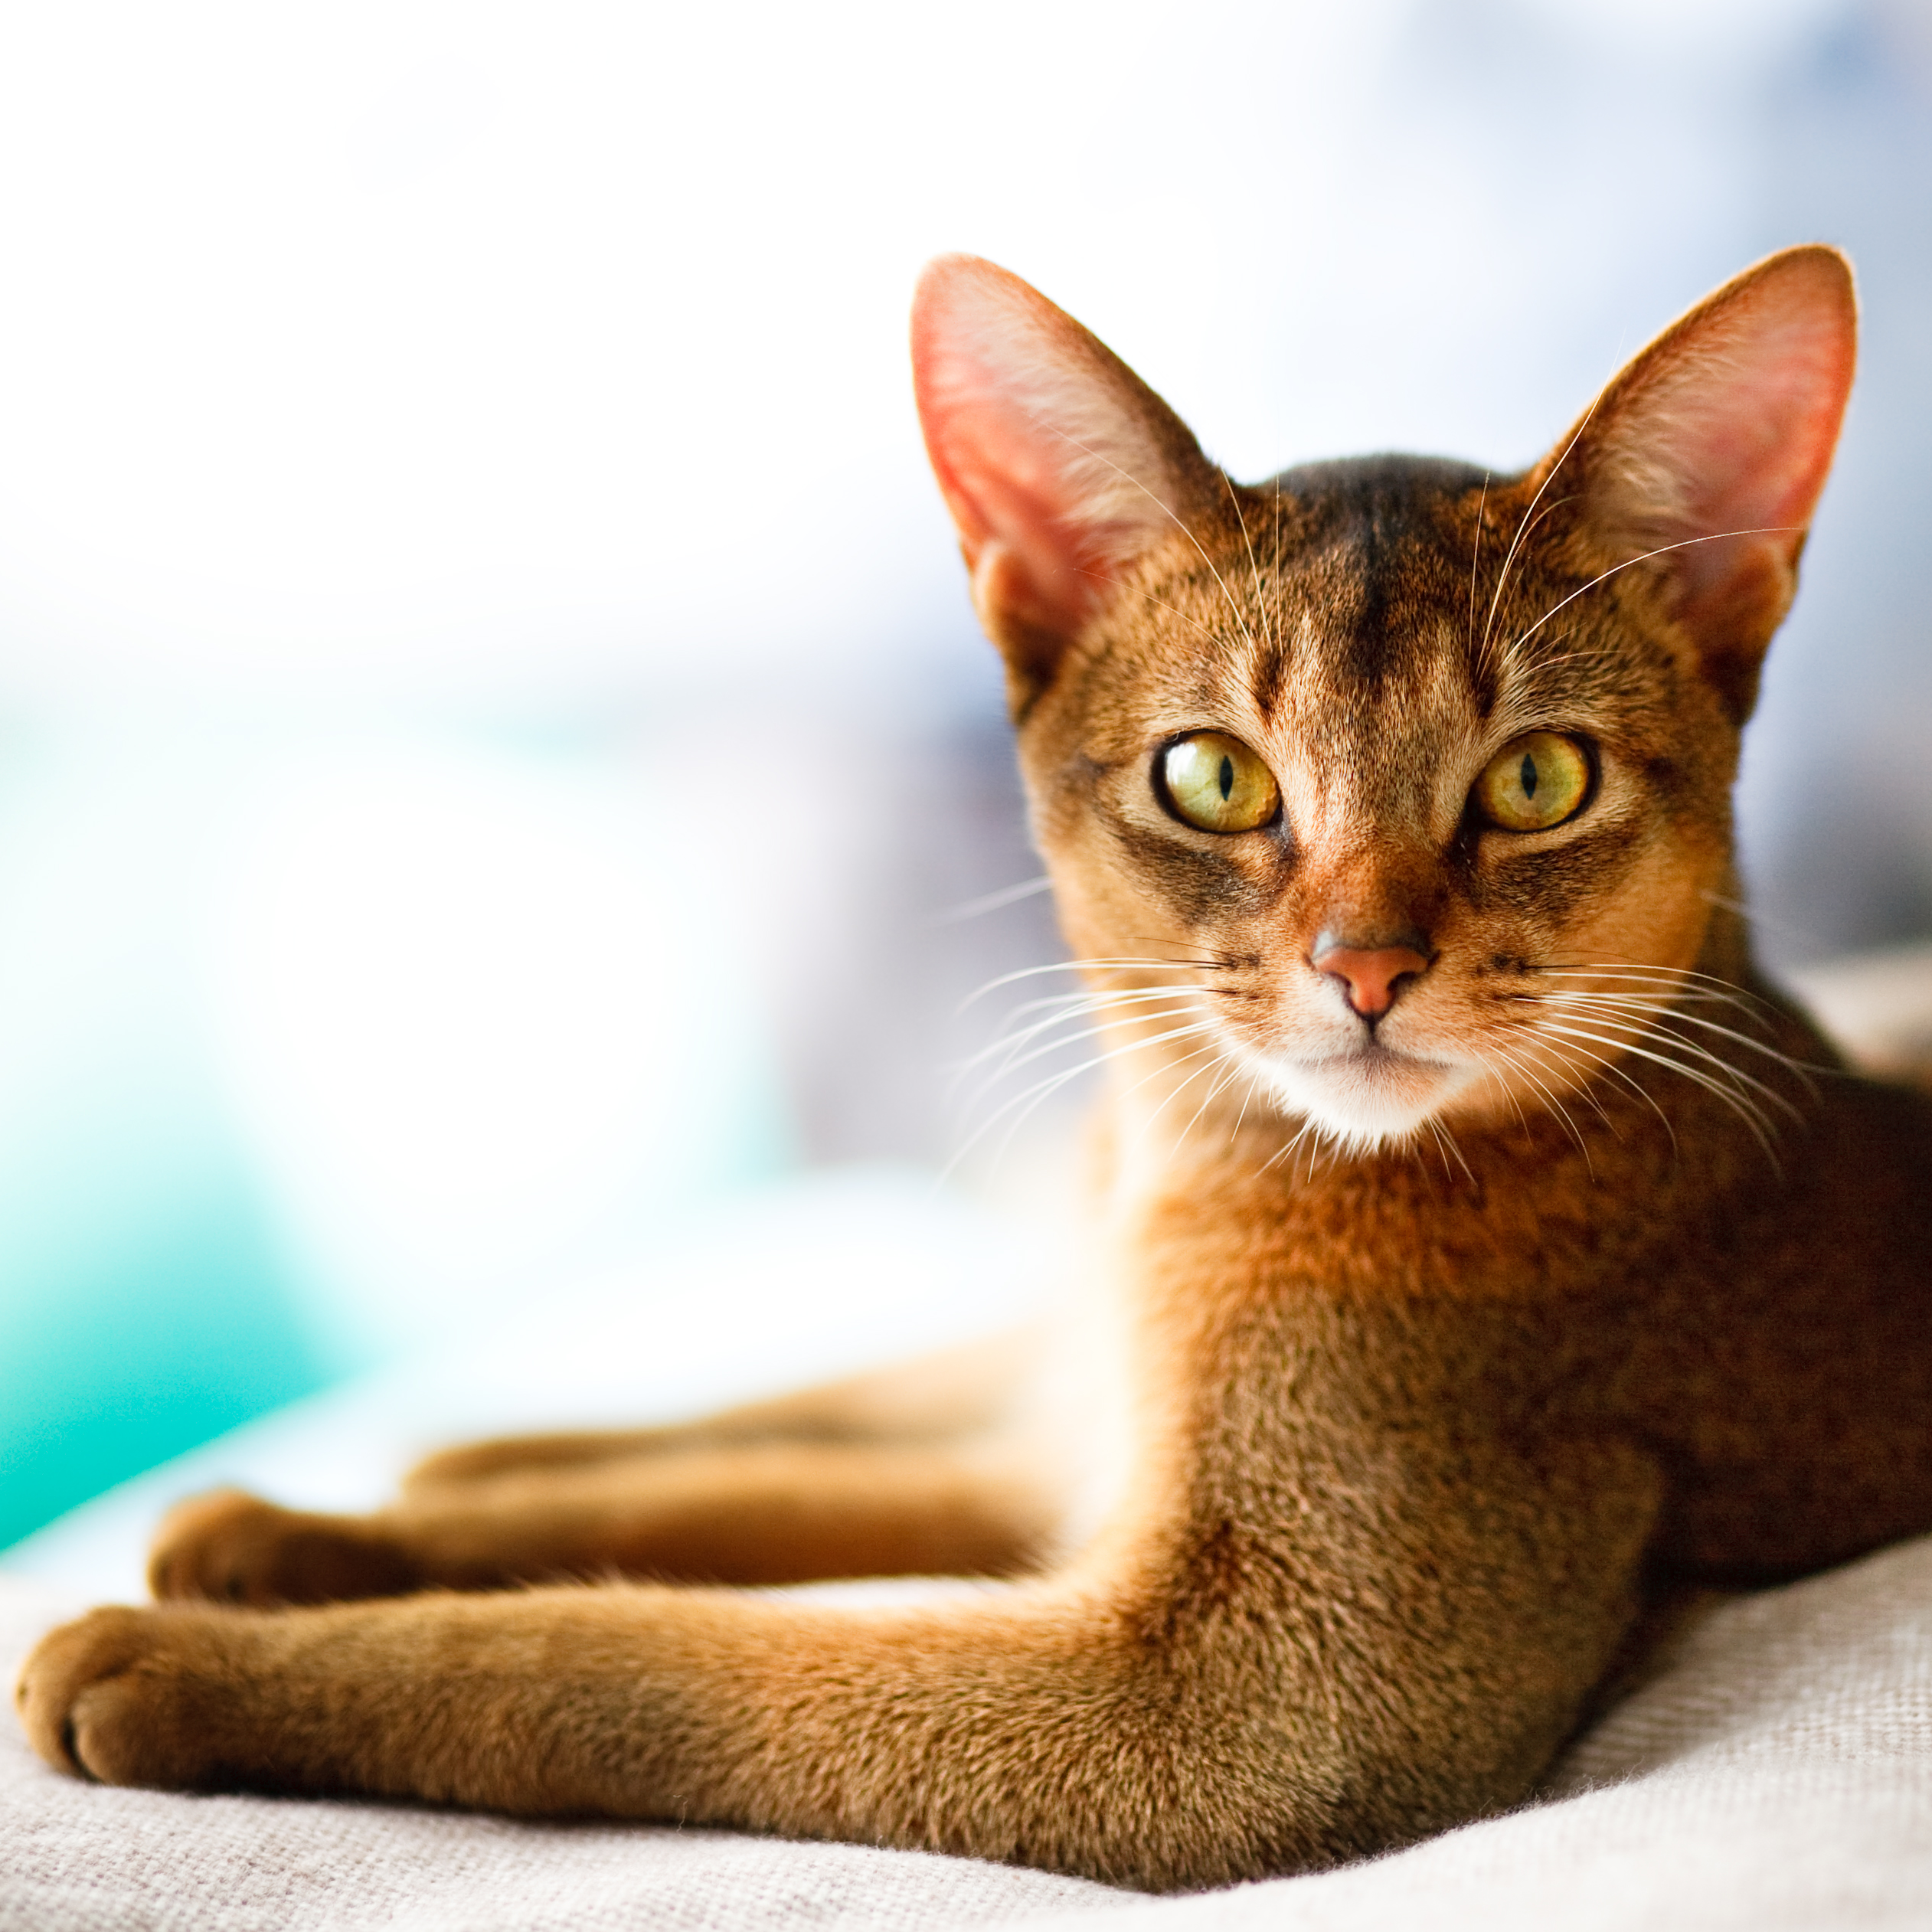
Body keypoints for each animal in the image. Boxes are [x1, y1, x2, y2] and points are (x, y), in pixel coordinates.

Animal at [15, 245, 1932, 1901]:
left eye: (1535, 780)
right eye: (1212, 778)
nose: (1365, 969)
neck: (1176, 1181)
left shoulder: (1251, 1705)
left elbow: (650, 1651)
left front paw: (175, 1656)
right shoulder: (1086, 1469)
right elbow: (731, 1497)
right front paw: (293, 1534)